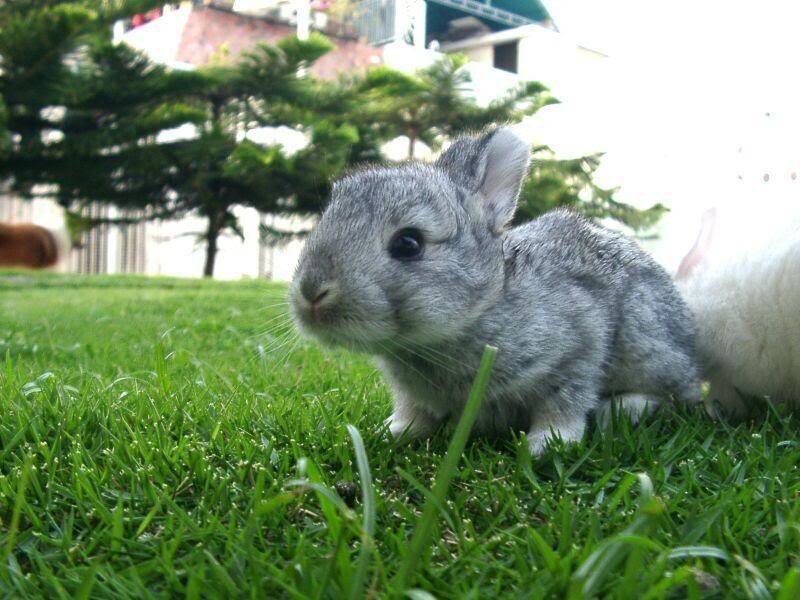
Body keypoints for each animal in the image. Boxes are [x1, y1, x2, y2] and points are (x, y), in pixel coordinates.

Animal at [289, 127, 701, 455]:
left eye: (408, 243)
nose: (311, 294)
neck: (483, 308)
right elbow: (414, 413)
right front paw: (391, 432)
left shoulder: (580, 346)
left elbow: (565, 402)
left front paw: (544, 446)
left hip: (644, 341)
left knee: (672, 392)